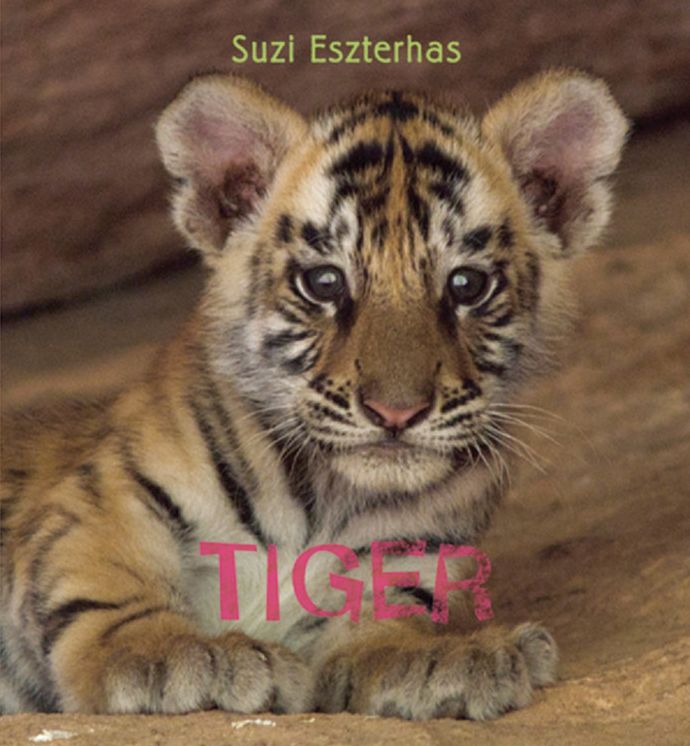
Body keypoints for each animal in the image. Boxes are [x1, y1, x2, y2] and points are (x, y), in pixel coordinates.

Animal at [0, 69, 627, 718]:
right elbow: (105, 584)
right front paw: (185, 656)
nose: (396, 411)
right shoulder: (101, 496)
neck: (323, 501)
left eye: (466, 285)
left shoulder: (401, 565)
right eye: (324, 282)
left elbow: (385, 638)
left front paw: (460, 659)